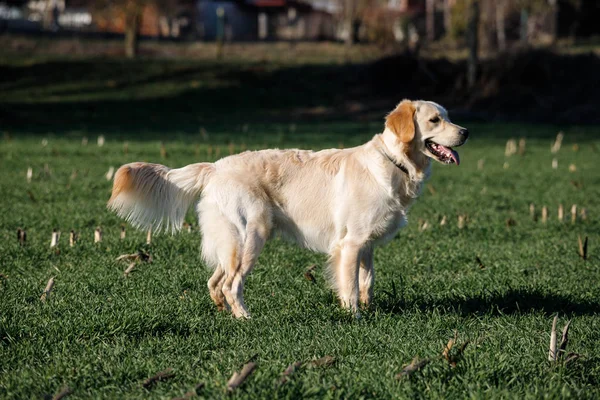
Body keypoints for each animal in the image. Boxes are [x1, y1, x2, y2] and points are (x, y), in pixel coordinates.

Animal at [108, 100, 468, 318]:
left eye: (449, 116)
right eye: (435, 120)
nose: (466, 132)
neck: (395, 163)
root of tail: (215, 166)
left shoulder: (366, 245)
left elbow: (367, 281)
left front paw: (368, 309)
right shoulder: (350, 244)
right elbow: (350, 286)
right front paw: (353, 316)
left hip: (231, 241)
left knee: (215, 281)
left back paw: (224, 312)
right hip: (252, 235)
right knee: (231, 284)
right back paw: (245, 317)